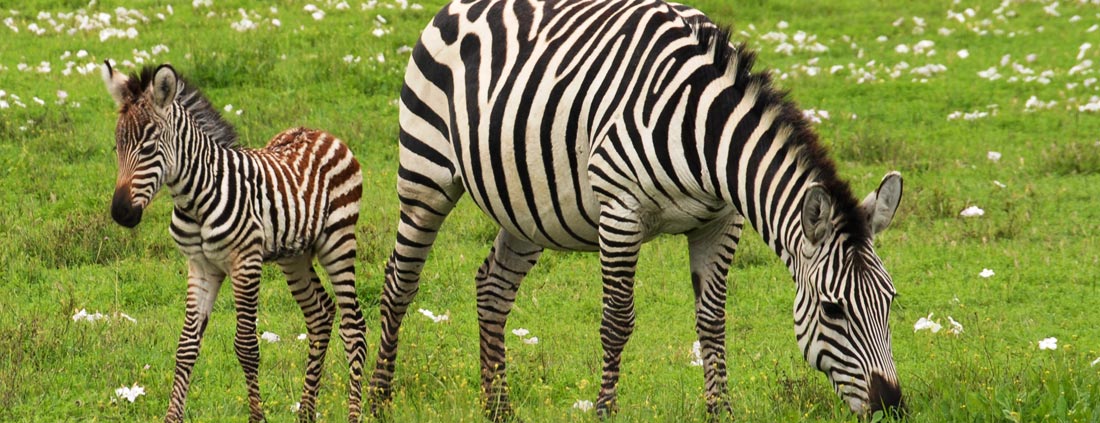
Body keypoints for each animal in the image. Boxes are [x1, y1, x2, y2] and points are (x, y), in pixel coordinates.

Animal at [102, 62, 368, 423]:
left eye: (148, 148)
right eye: (117, 147)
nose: (121, 213)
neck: (196, 197)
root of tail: (322, 133)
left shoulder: (245, 262)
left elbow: (246, 346)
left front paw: (258, 417)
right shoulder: (200, 266)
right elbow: (186, 346)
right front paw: (173, 417)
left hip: (338, 240)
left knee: (354, 326)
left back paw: (353, 413)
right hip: (294, 255)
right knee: (320, 313)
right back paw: (306, 413)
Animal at [370, 0, 905, 419]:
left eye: (890, 301)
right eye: (833, 309)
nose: (892, 405)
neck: (704, 133)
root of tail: (457, 7)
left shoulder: (720, 222)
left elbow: (712, 322)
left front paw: (720, 411)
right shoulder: (621, 211)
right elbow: (617, 321)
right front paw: (605, 410)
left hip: (526, 206)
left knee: (492, 289)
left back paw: (497, 407)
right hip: (425, 172)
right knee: (399, 281)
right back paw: (377, 400)